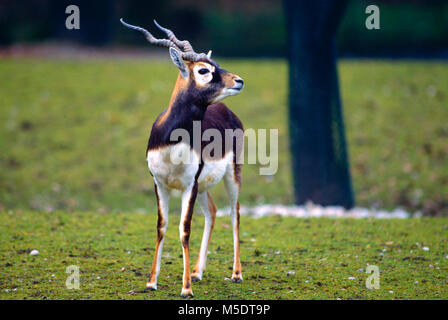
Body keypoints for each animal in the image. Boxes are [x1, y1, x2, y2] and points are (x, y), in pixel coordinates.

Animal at [121, 18, 243, 296]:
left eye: (215, 64)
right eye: (203, 70)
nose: (239, 80)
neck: (173, 143)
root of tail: (227, 110)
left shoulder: (189, 185)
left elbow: (184, 229)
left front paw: (185, 288)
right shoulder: (160, 184)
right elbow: (162, 226)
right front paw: (151, 281)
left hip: (232, 174)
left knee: (234, 214)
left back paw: (236, 274)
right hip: (205, 186)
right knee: (212, 212)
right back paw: (198, 272)